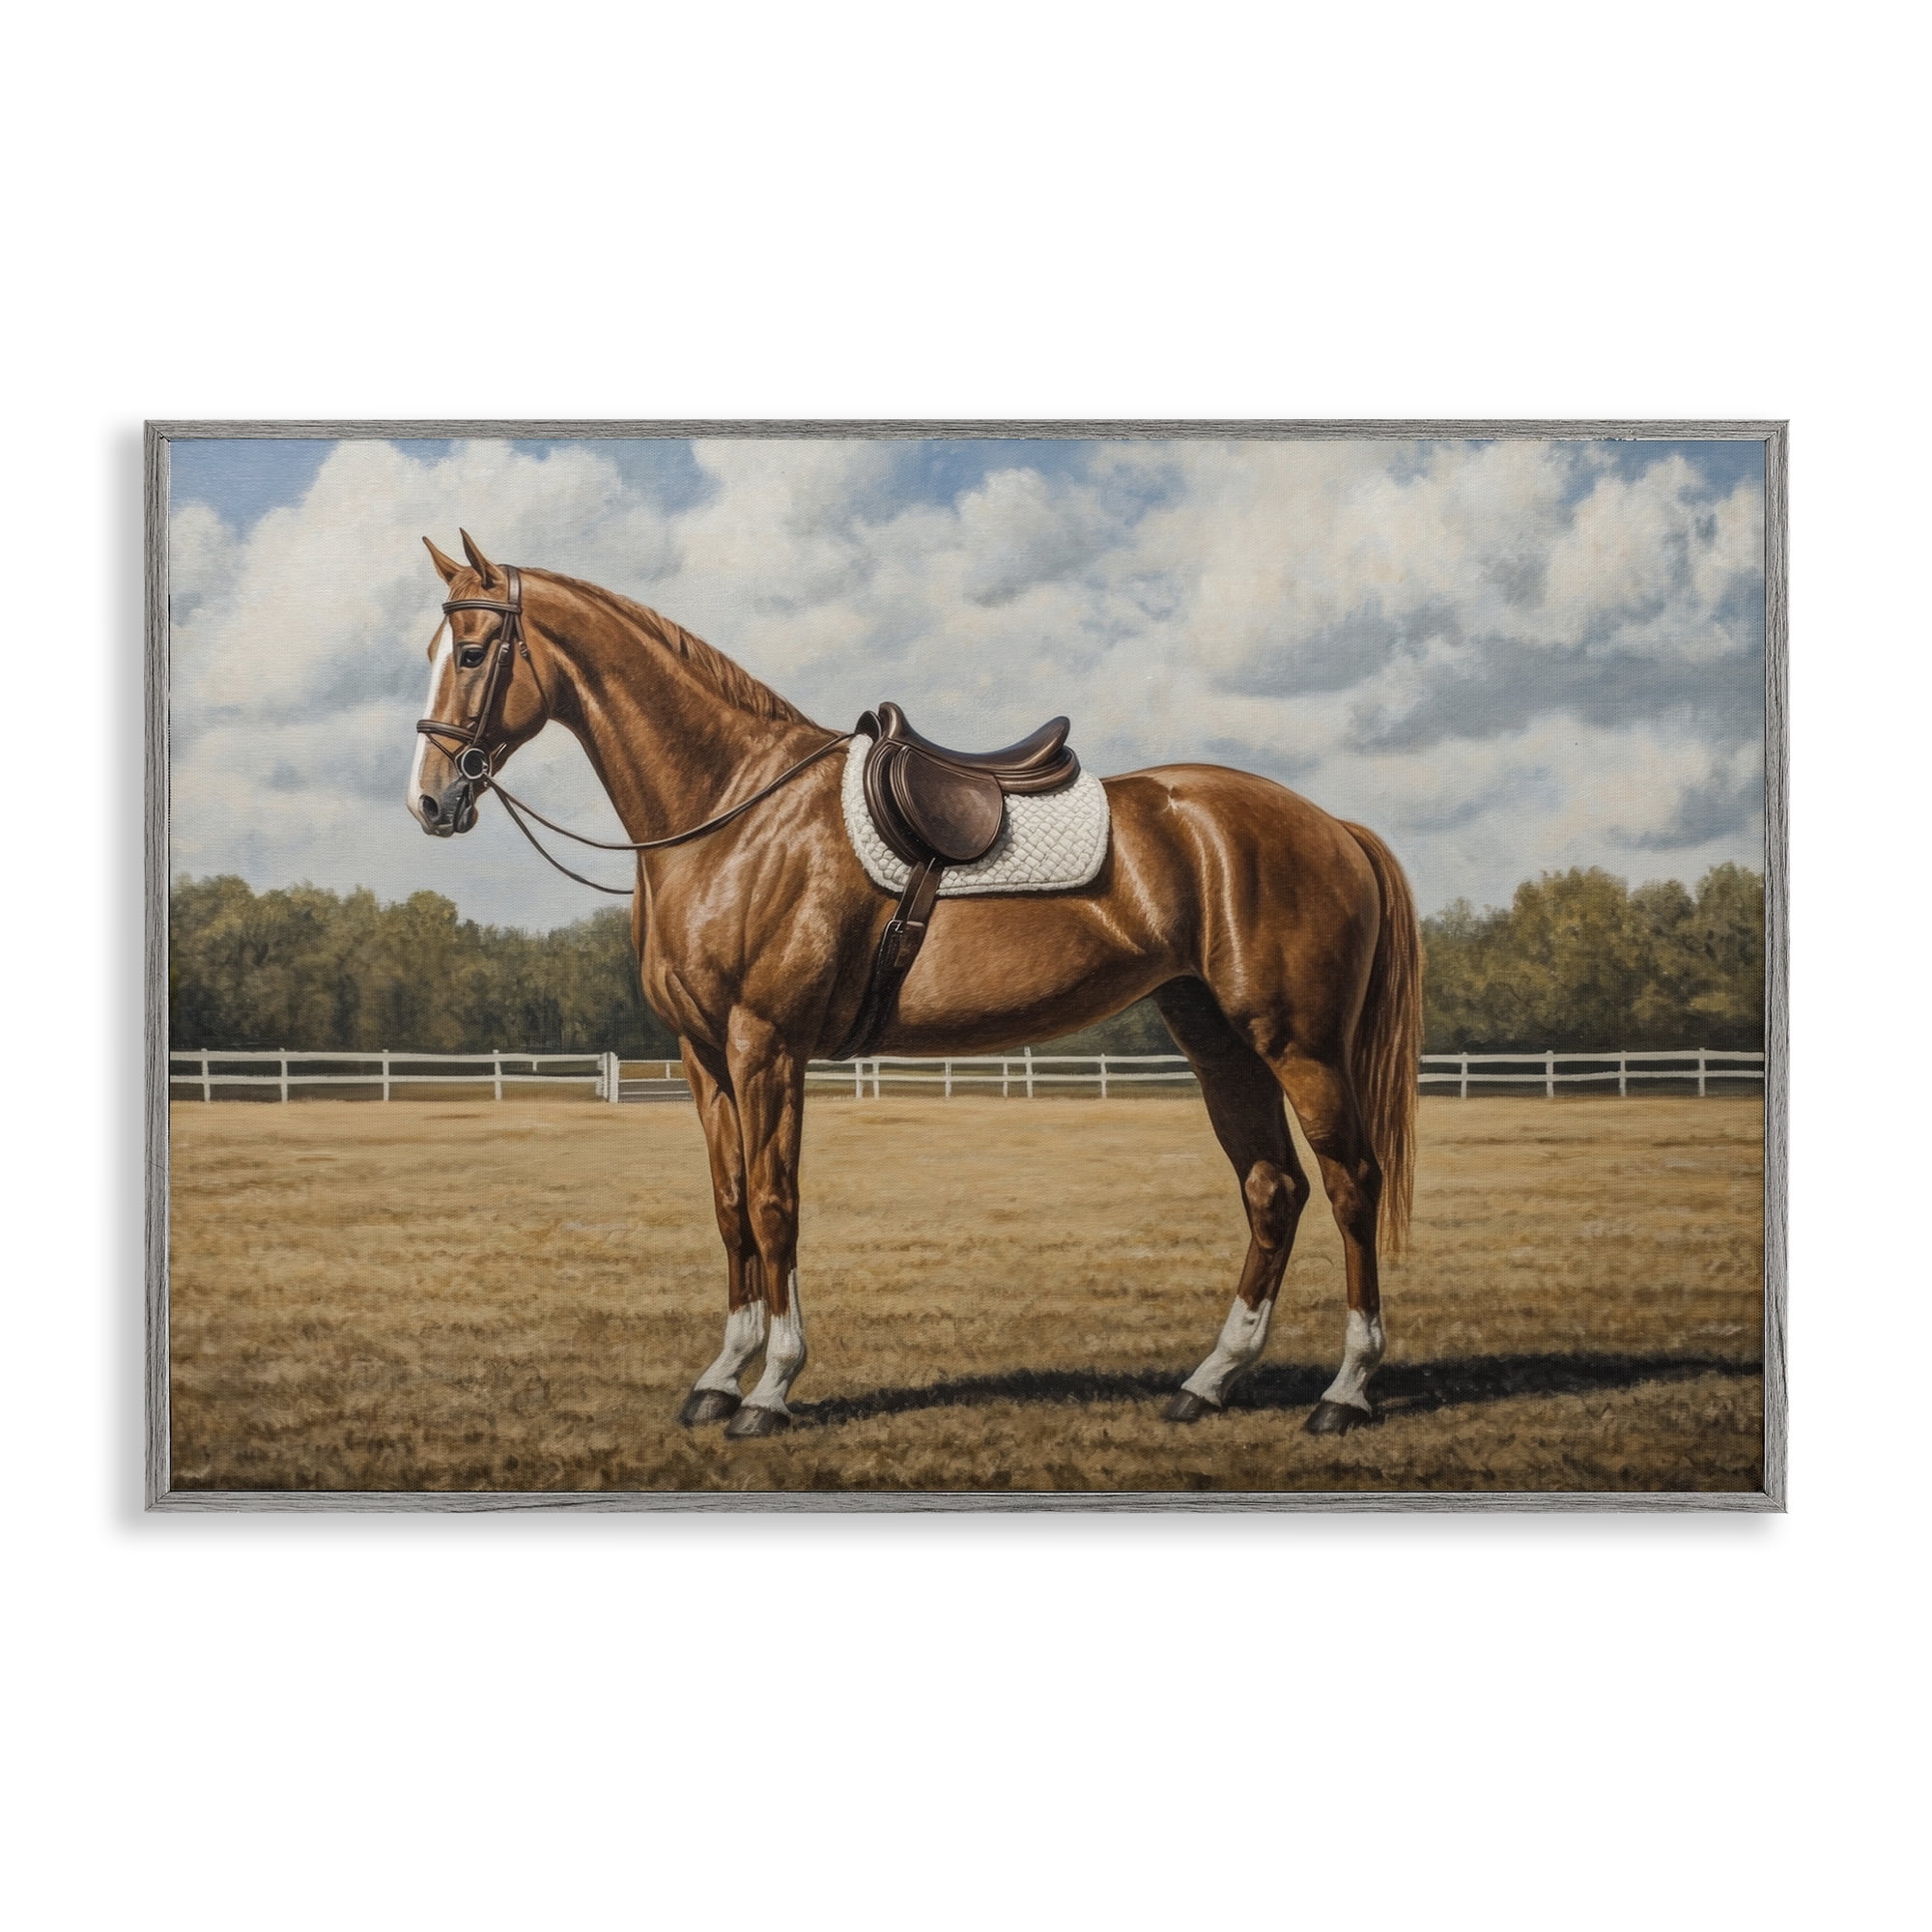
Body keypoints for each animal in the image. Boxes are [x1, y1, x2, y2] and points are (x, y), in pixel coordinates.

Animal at [410, 531, 1421, 1442]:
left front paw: (772, 1388)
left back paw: (1344, 1393)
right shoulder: (702, 1054)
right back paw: (1208, 1382)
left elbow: (775, 1204)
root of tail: (1330, 824)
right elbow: (731, 1204)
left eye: (472, 652)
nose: (430, 801)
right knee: (1272, 1188)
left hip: (1299, 1044)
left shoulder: (765, 1044)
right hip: (1217, 1040)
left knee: (1351, 1182)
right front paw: (719, 1377)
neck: (733, 813)